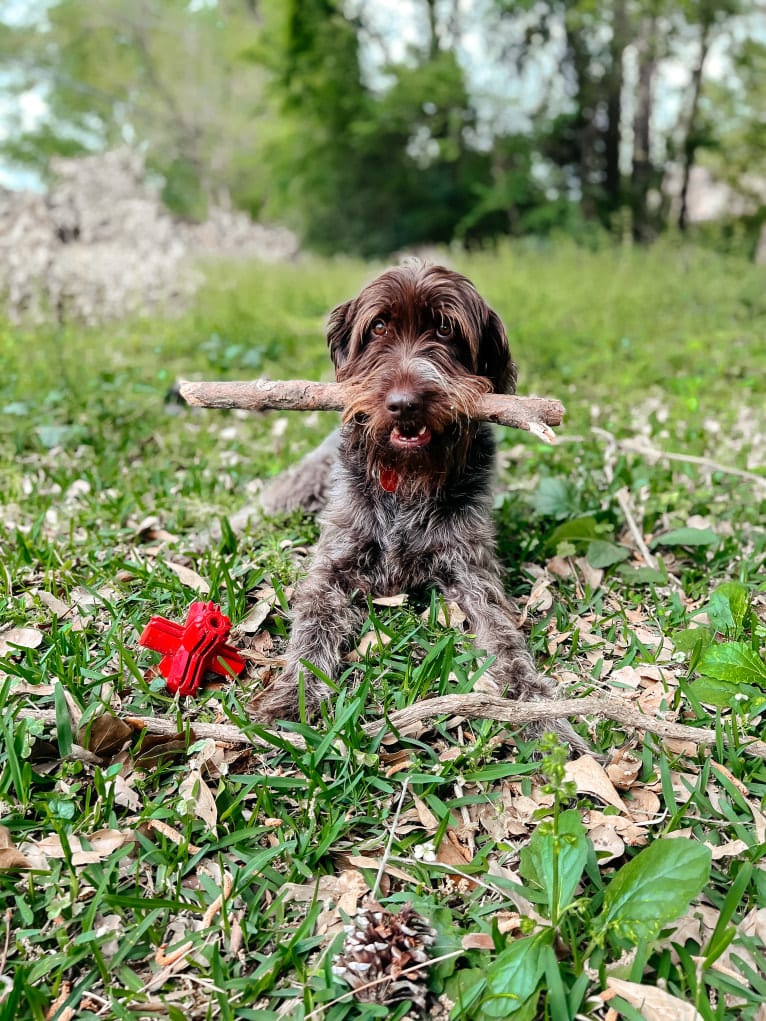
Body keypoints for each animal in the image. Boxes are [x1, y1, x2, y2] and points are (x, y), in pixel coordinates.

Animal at [256, 259, 588, 755]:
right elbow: (311, 628)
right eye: (377, 327)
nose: (404, 404)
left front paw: (540, 715)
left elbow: (506, 642)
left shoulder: (470, 573)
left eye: (446, 329)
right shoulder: (334, 565)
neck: (409, 479)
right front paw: (294, 694)